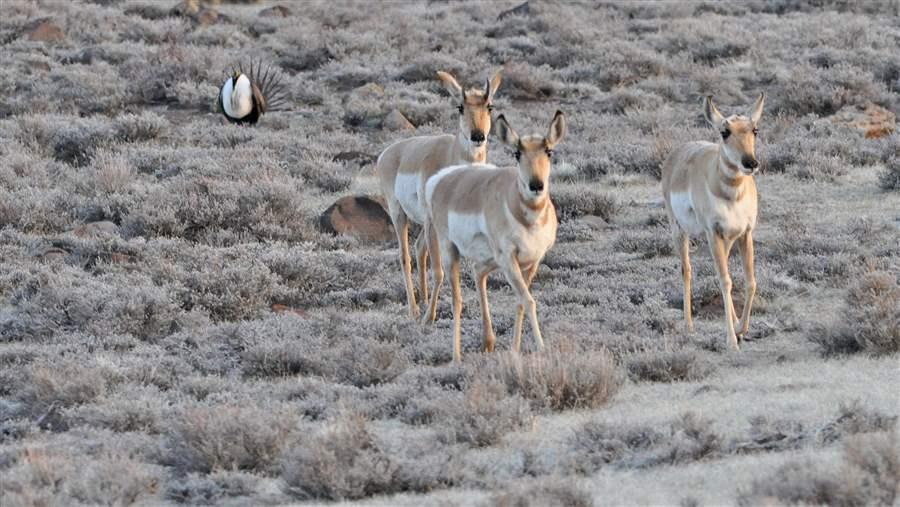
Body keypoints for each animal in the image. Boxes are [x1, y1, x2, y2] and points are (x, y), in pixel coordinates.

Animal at [376, 69, 502, 320]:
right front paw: (429, 317)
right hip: (400, 215)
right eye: (460, 107)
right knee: (405, 257)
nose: (477, 136)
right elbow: (439, 271)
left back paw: (424, 301)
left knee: (419, 249)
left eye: (490, 106)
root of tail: (388, 152)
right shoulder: (433, 224)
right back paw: (415, 309)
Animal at [422, 113, 564, 364]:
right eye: (517, 153)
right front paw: (542, 349)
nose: (536, 185)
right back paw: (456, 356)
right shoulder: (509, 259)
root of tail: (442, 179)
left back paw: (487, 341)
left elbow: (520, 302)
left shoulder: (532, 261)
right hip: (451, 251)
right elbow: (529, 301)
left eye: (549, 151)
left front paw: (515, 350)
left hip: (489, 260)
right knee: (457, 300)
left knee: (478, 273)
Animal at [660, 93, 768, 352]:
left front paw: (741, 328)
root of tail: (679, 153)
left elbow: (749, 282)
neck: (732, 194)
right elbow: (725, 281)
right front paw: (731, 340)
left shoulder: (745, 233)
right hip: (680, 232)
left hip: (726, 240)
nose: (750, 163)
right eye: (725, 132)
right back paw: (688, 326)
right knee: (687, 270)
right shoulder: (713, 233)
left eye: (755, 129)